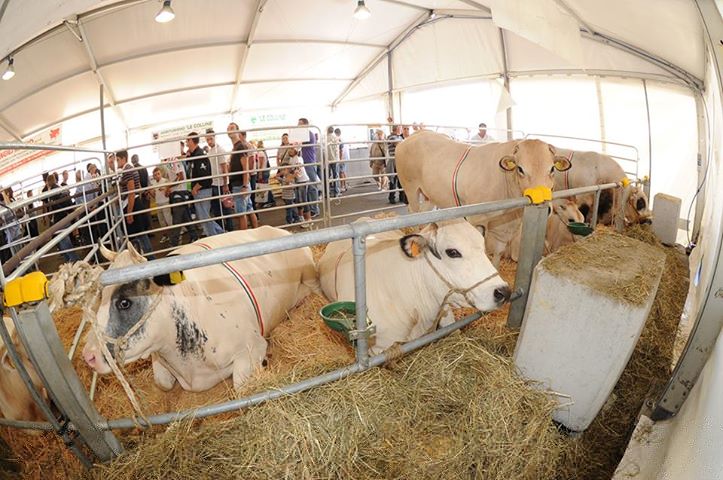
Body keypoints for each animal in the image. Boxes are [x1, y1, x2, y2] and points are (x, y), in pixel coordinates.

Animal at [82, 227, 320, 392]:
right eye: (100, 297)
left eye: (124, 302)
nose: (88, 356)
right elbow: (162, 382)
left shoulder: (253, 345)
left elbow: (241, 385)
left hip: (309, 272)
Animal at [395, 130, 572, 266]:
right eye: (520, 169)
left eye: (552, 169)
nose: (546, 207)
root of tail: (416, 135)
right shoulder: (476, 219)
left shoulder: (503, 226)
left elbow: (498, 251)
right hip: (410, 188)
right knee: (413, 212)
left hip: (429, 195)